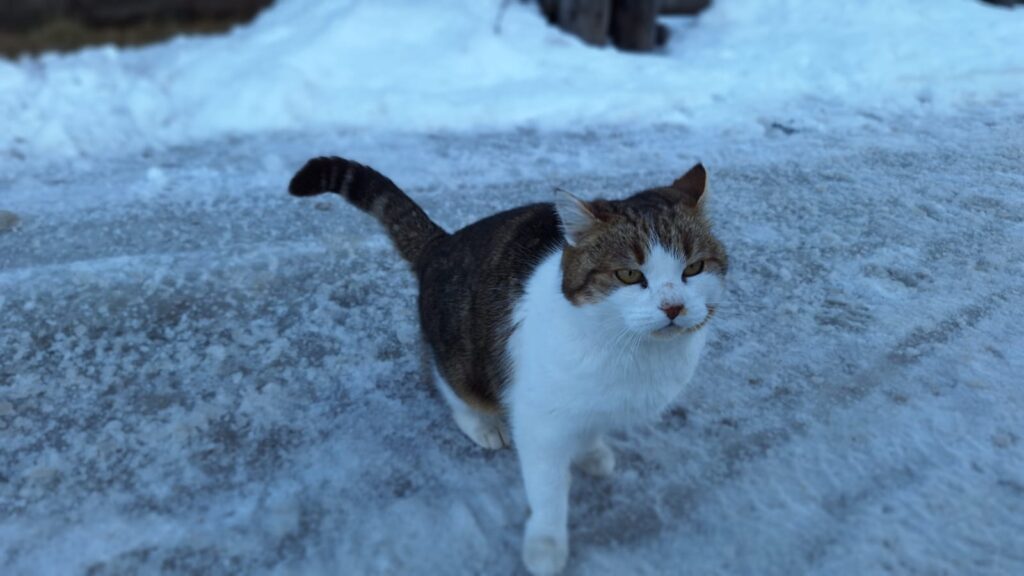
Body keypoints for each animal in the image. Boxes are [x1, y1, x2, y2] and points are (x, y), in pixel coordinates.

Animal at [289, 157, 727, 575]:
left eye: (693, 268)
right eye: (629, 274)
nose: (673, 307)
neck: (629, 349)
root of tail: (443, 244)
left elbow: (590, 429)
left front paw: (590, 451)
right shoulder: (539, 419)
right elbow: (547, 488)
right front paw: (546, 544)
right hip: (460, 356)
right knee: (450, 387)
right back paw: (481, 424)